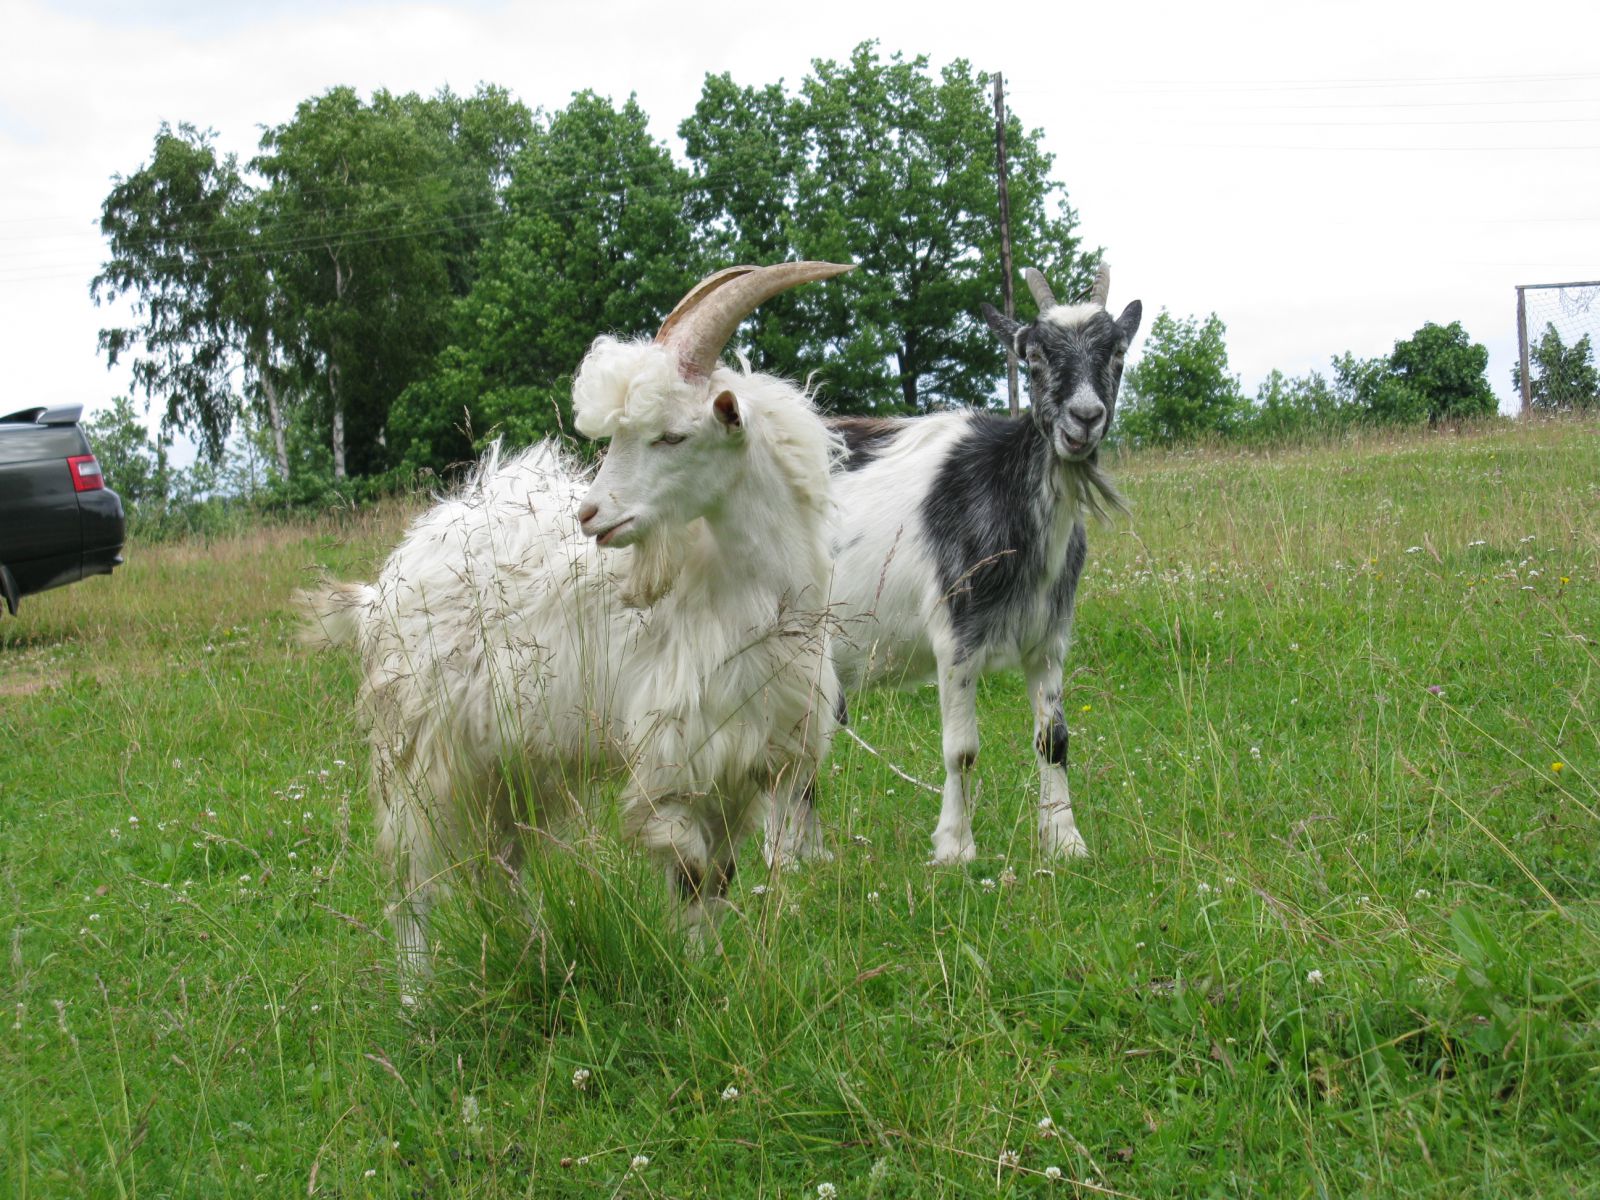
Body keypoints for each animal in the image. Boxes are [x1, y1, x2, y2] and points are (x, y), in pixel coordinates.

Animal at [299, 262, 852, 982]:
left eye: (672, 434)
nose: (591, 515)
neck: (746, 595)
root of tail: (386, 581)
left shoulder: (750, 764)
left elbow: (722, 877)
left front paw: (713, 970)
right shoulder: (673, 761)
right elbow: (690, 873)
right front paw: (694, 974)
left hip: (503, 762)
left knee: (500, 863)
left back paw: (531, 951)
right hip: (422, 749)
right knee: (414, 877)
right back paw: (418, 991)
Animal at [769, 264, 1141, 866]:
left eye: (1118, 352)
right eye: (1030, 355)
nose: (1084, 419)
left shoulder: (1049, 638)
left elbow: (1054, 740)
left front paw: (1065, 841)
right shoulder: (956, 634)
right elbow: (962, 749)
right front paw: (956, 848)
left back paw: (811, 854)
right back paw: (780, 857)